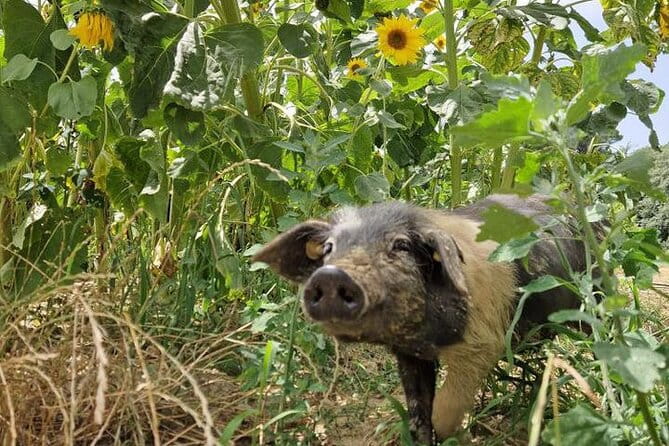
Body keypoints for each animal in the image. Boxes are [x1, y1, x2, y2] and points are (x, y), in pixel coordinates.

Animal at [253, 194, 590, 445]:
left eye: (400, 246)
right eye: (328, 248)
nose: (332, 275)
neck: (428, 336)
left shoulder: (483, 341)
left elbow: (445, 408)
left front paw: (459, 436)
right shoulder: (410, 354)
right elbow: (418, 410)